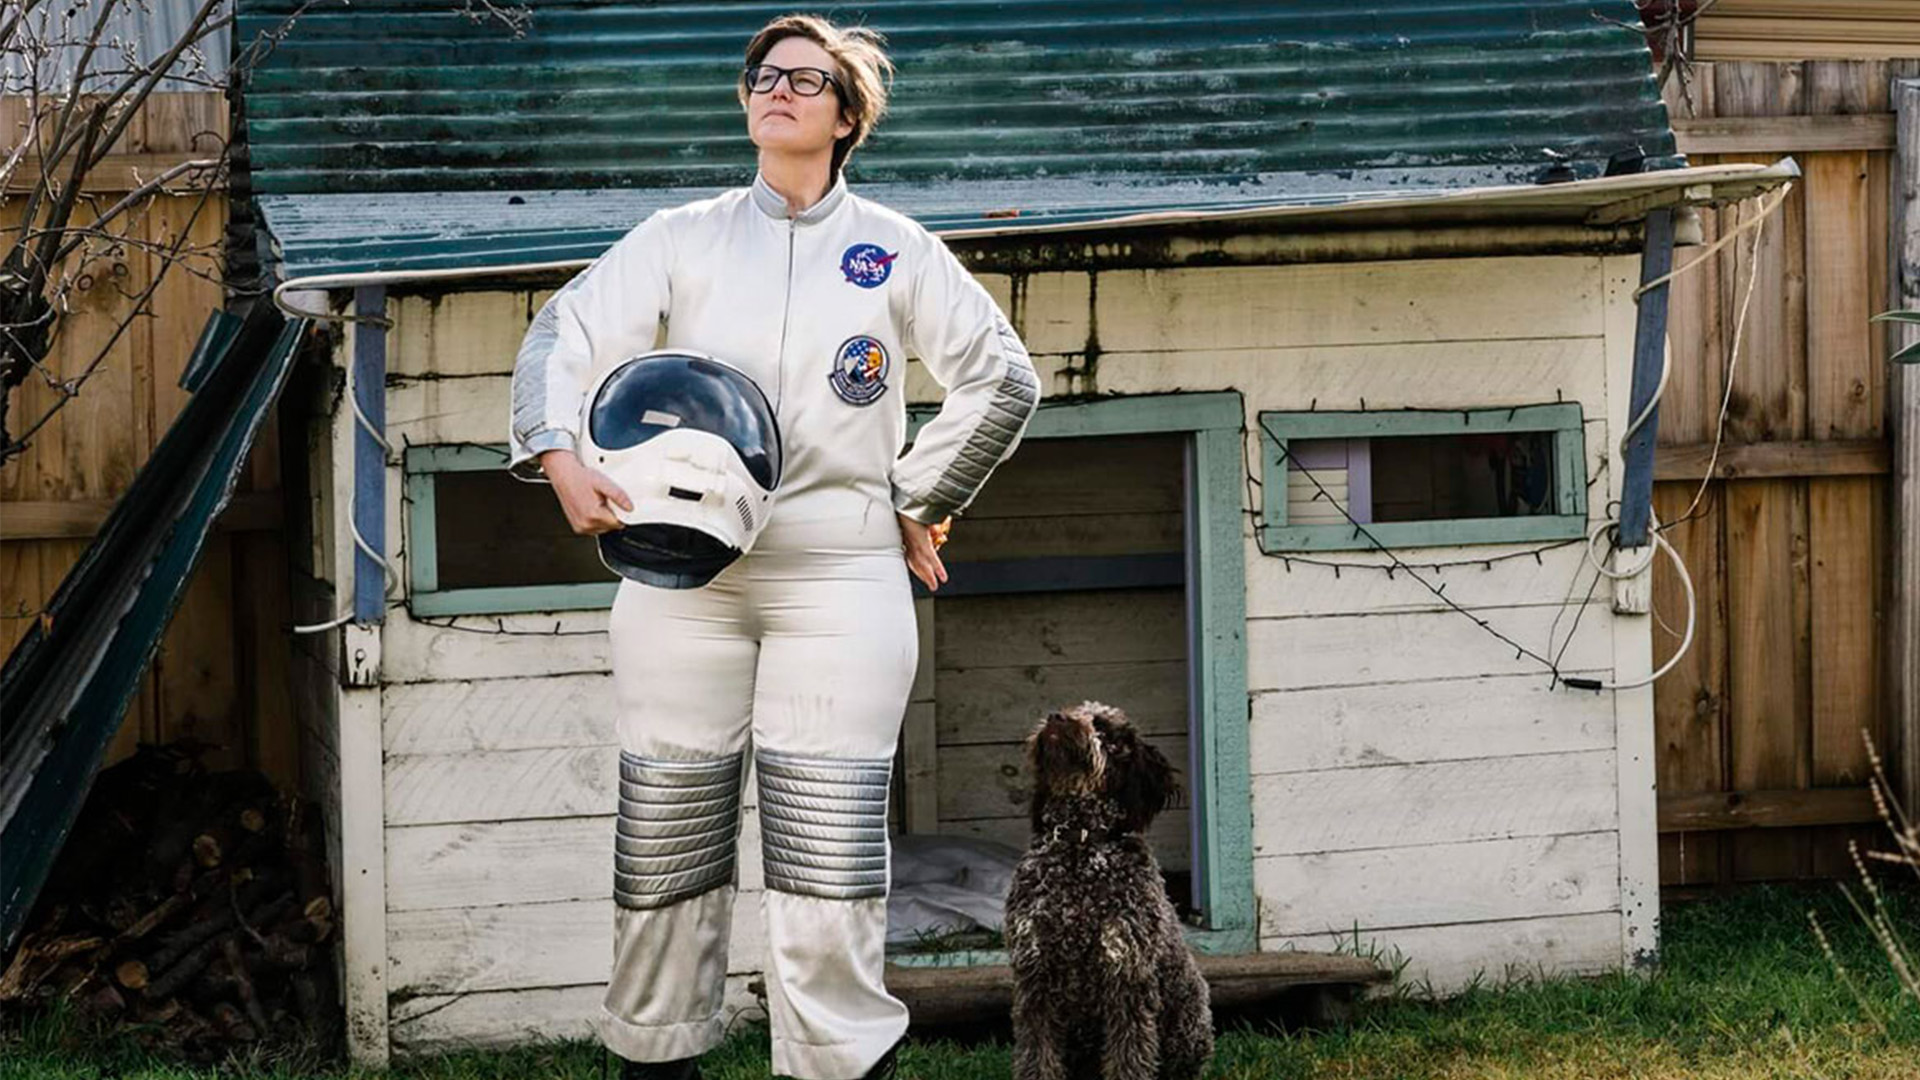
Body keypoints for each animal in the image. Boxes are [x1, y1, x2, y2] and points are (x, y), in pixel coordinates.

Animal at [1006, 699, 1213, 1076]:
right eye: (1074, 709)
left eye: (1104, 732)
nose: (1057, 717)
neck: (1079, 849)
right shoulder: (1035, 975)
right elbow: (1037, 1057)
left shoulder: (1127, 977)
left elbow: (1129, 1057)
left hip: (1187, 1025)